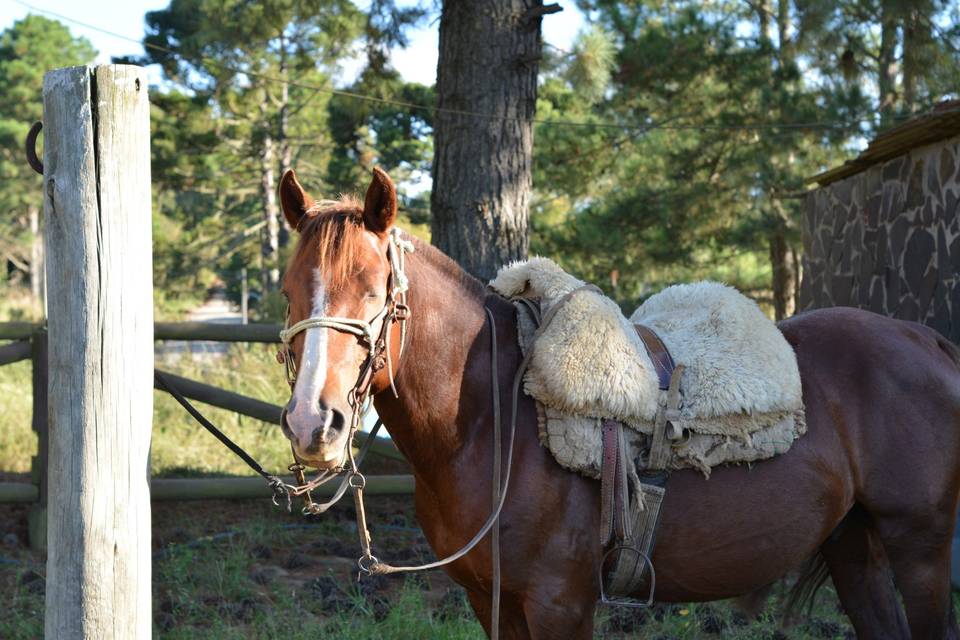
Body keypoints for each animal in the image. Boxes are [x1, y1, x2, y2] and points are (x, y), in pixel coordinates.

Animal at [274, 168, 960, 636]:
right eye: (287, 291)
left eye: (373, 290)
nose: (314, 423)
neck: (491, 423)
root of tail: (925, 338)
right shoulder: (491, 602)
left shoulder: (560, 603)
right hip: (855, 546)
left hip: (919, 549)